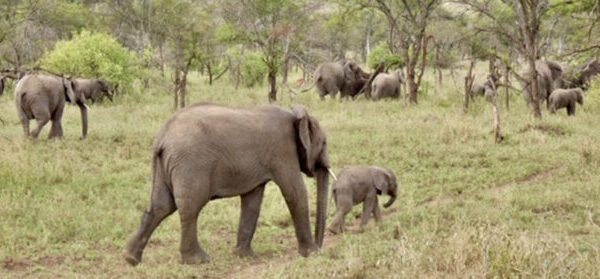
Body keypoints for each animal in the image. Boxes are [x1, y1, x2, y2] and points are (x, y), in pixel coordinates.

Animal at [122, 104, 336, 266]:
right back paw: (198, 260)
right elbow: (295, 192)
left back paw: (131, 259)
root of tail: (162, 137)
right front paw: (311, 254)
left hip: (164, 165)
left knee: (161, 207)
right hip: (190, 164)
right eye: (324, 143)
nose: (320, 245)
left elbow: (253, 201)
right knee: (190, 208)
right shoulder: (282, 151)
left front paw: (245, 256)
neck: (295, 116)